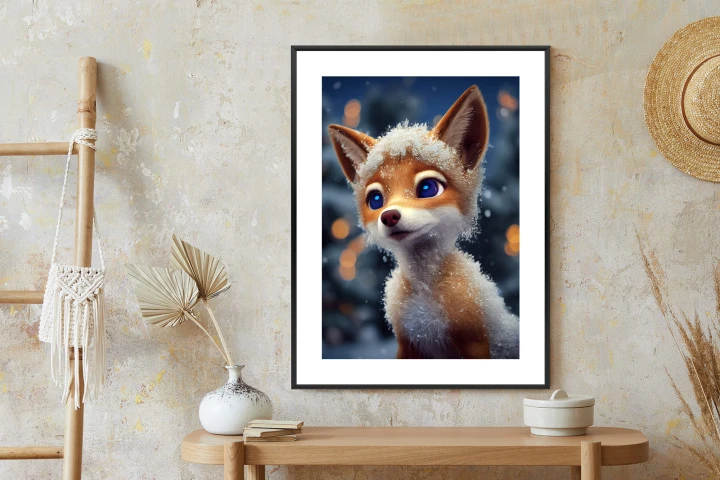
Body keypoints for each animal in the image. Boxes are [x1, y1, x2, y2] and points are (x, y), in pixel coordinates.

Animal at [328, 85, 519, 360]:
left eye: (428, 188)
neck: (425, 296)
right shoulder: (408, 344)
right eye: (375, 200)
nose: (389, 216)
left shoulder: (474, 341)